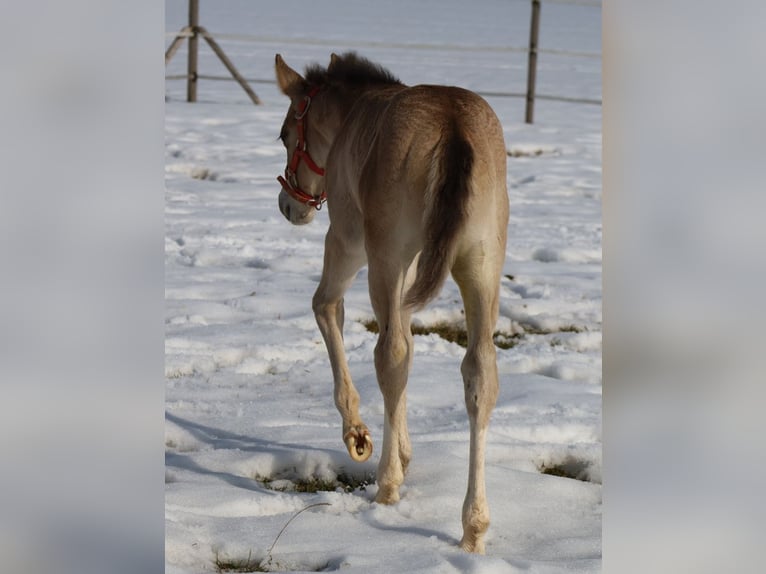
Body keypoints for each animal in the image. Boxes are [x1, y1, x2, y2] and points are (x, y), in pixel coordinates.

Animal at [274, 52, 509, 553]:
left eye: (285, 134)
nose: (290, 206)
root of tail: (453, 125)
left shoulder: (347, 242)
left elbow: (326, 307)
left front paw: (359, 436)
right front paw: (402, 449)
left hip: (384, 256)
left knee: (390, 354)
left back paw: (386, 485)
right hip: (481, 268)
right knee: (479, 373)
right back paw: (473, 527)